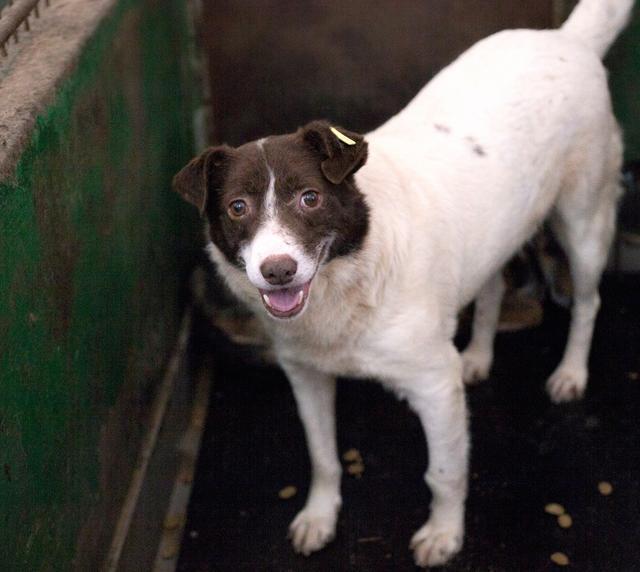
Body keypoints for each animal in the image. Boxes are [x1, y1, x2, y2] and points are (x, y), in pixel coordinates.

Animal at [172, 0, 632, 564]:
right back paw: (478, 356)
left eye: (309, 198)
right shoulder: (306, 374)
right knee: (492, 288)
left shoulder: (434, 385)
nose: (277, 269)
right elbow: (322, 457)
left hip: (584, 222)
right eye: (237, 208)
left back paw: (570, 372)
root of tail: (567, 39)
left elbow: (443, 473)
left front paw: (444, 534)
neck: (354, 273)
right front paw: (320, 516)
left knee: (589, 302)